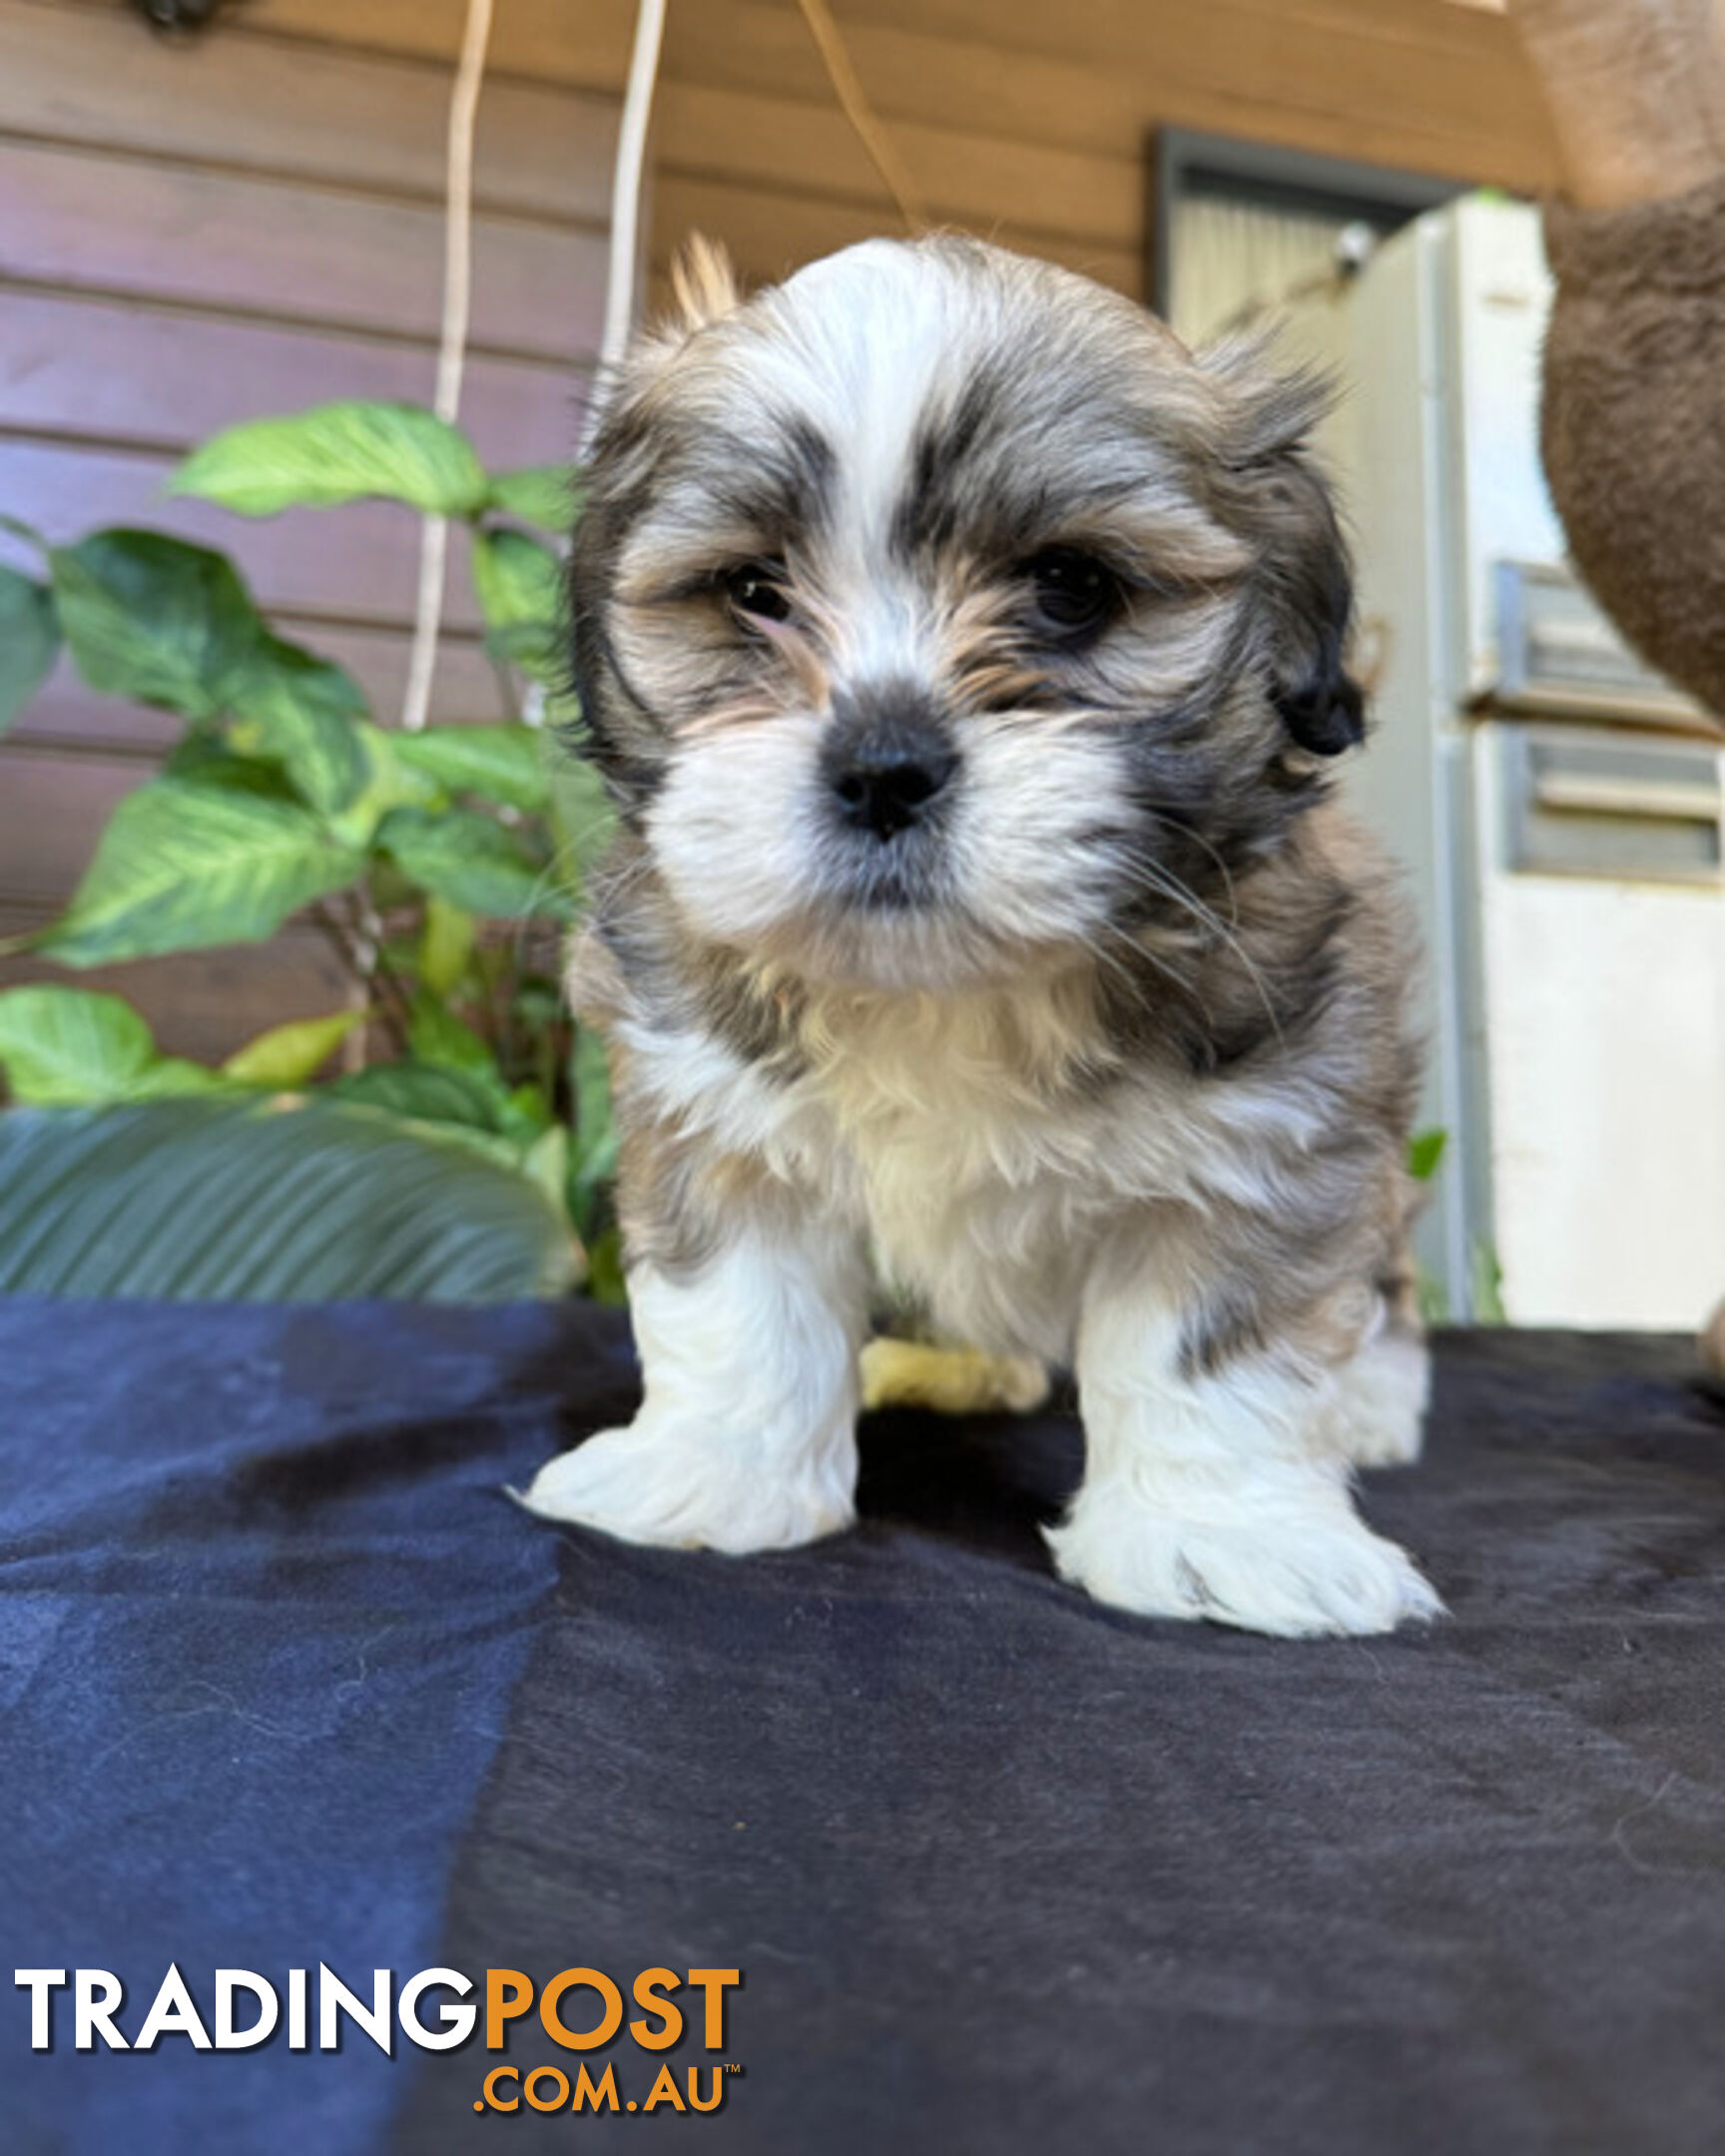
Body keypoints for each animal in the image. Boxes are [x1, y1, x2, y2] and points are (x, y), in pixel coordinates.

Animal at [526, 236, 1439, 1638]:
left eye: (1072, 588)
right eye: (754, 592)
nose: (884, 765)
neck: (945, 992)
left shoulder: (1275, 1122)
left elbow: (1214, 1344)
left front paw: (1220, 1535)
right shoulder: (714, 1114)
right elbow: (736, 1307)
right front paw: (716, 1472)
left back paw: (1376, 1404)